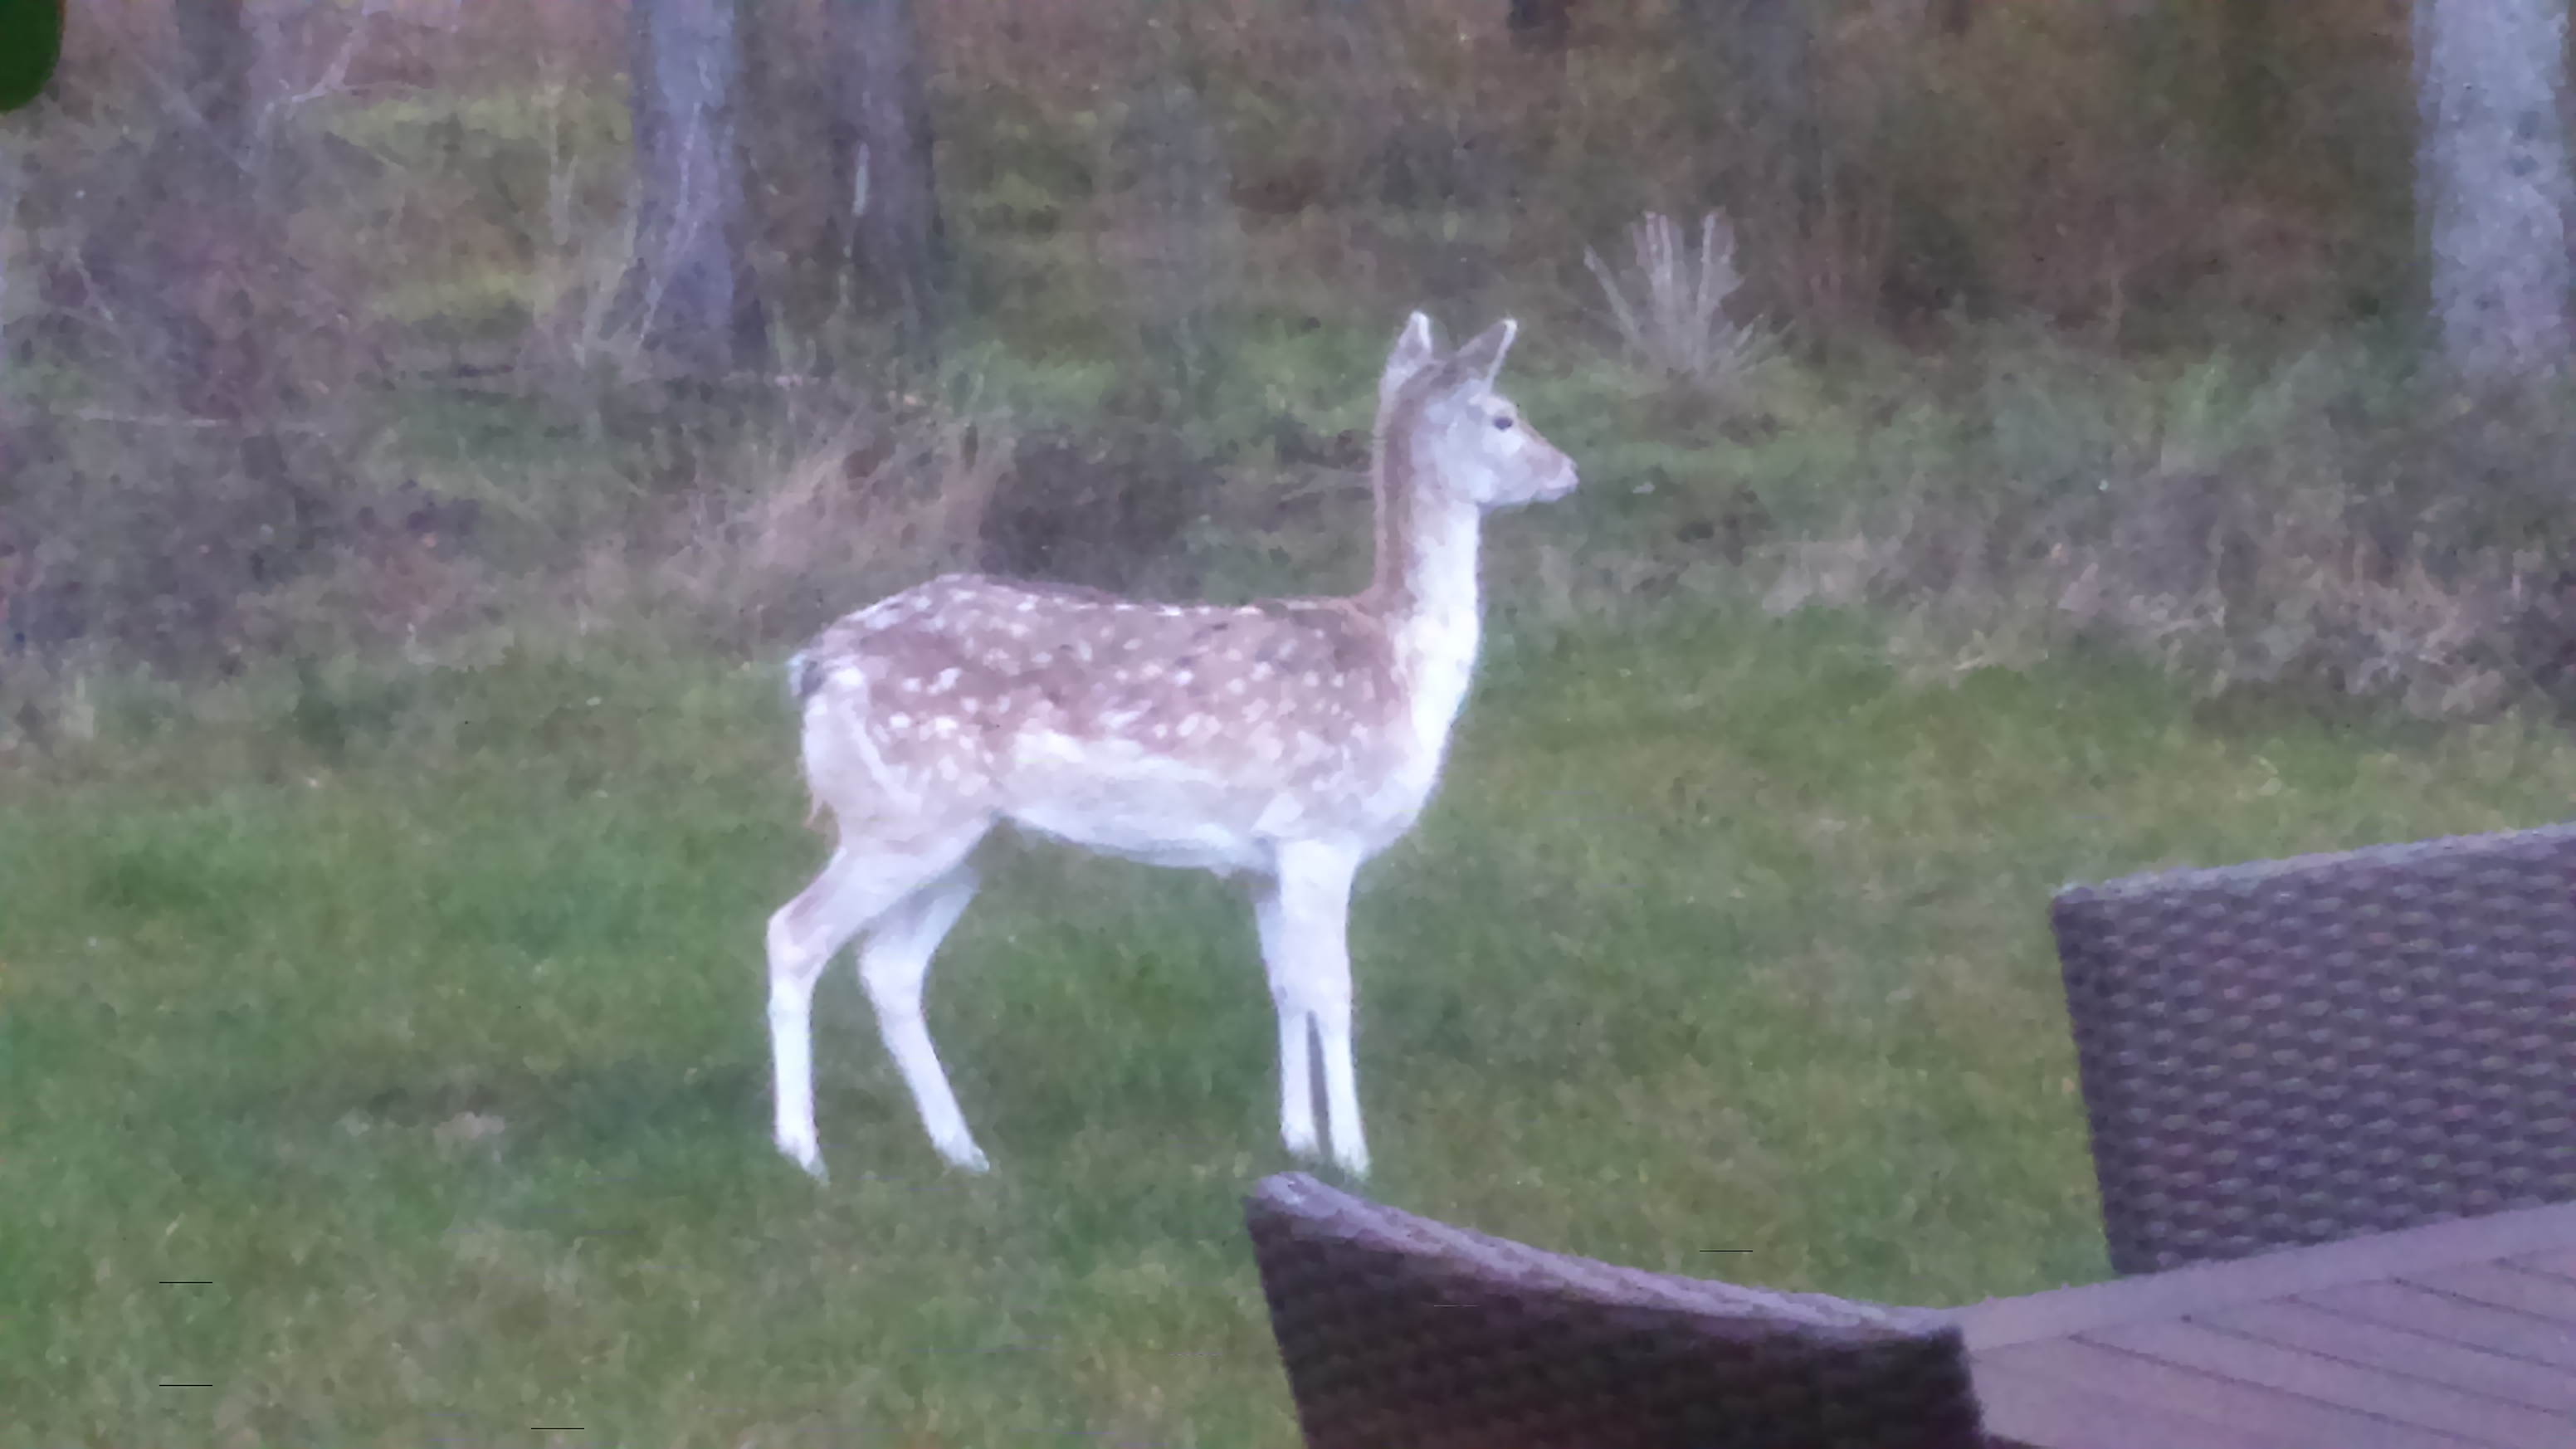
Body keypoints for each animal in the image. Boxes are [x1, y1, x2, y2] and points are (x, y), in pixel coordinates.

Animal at [766, 312, 1579, 1183]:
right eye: (1504, 416)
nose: (1568, 469)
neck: (1399, 666)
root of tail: (813, 666)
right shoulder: (1322, 832)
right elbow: (1334, 990)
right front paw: (1356, 1157)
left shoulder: (1265, 861)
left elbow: (1285, 987)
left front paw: (1298, 1138)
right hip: (902, 814)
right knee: (795, 934)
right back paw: (802, 1153)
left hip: (969, 839)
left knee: (888, 966)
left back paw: (963, 1152)